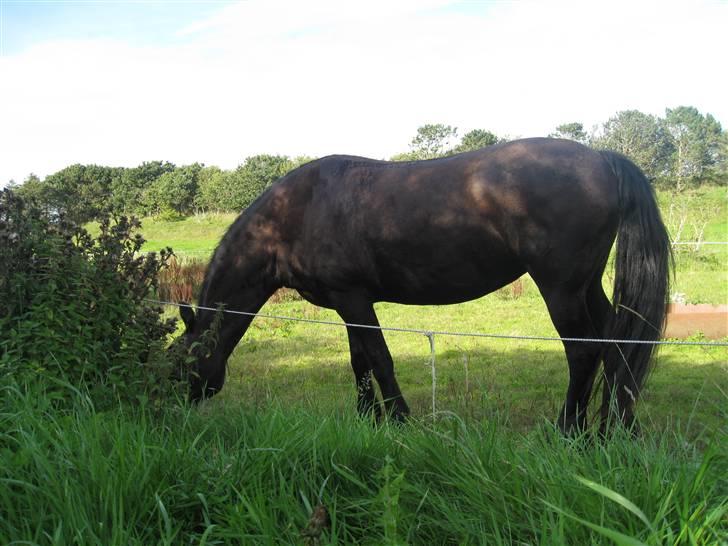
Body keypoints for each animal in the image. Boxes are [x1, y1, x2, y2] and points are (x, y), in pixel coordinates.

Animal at [179, 138, 668, 432]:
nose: (174, 406)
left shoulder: (353, 299)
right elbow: (360, 362)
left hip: (560, 289)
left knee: (583, 350)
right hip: (586, 286)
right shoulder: (347, 303)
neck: (293, 214)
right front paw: (367, 420)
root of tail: (603, 158)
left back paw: (569, 431)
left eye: (180, 361)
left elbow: (380, 359)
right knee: (613, 341)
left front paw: (398, 419)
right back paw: (613, 428)